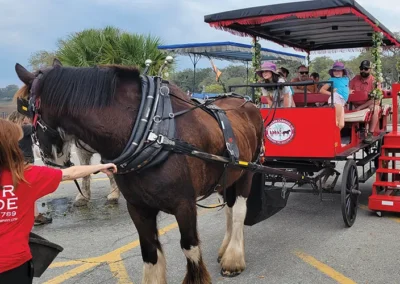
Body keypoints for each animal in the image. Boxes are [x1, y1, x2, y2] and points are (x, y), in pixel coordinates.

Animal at [15, 58, 264, 282]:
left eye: (26, 109)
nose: (48, 158)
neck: (150, 132)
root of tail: (247, 102)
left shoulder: (185, 204)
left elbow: (190, 248)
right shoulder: (138, 207)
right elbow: (149, 252)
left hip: (247, 173)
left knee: (238, 210)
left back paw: (233, 259)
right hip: (228, 177)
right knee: (229, 209)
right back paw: (225, 250)